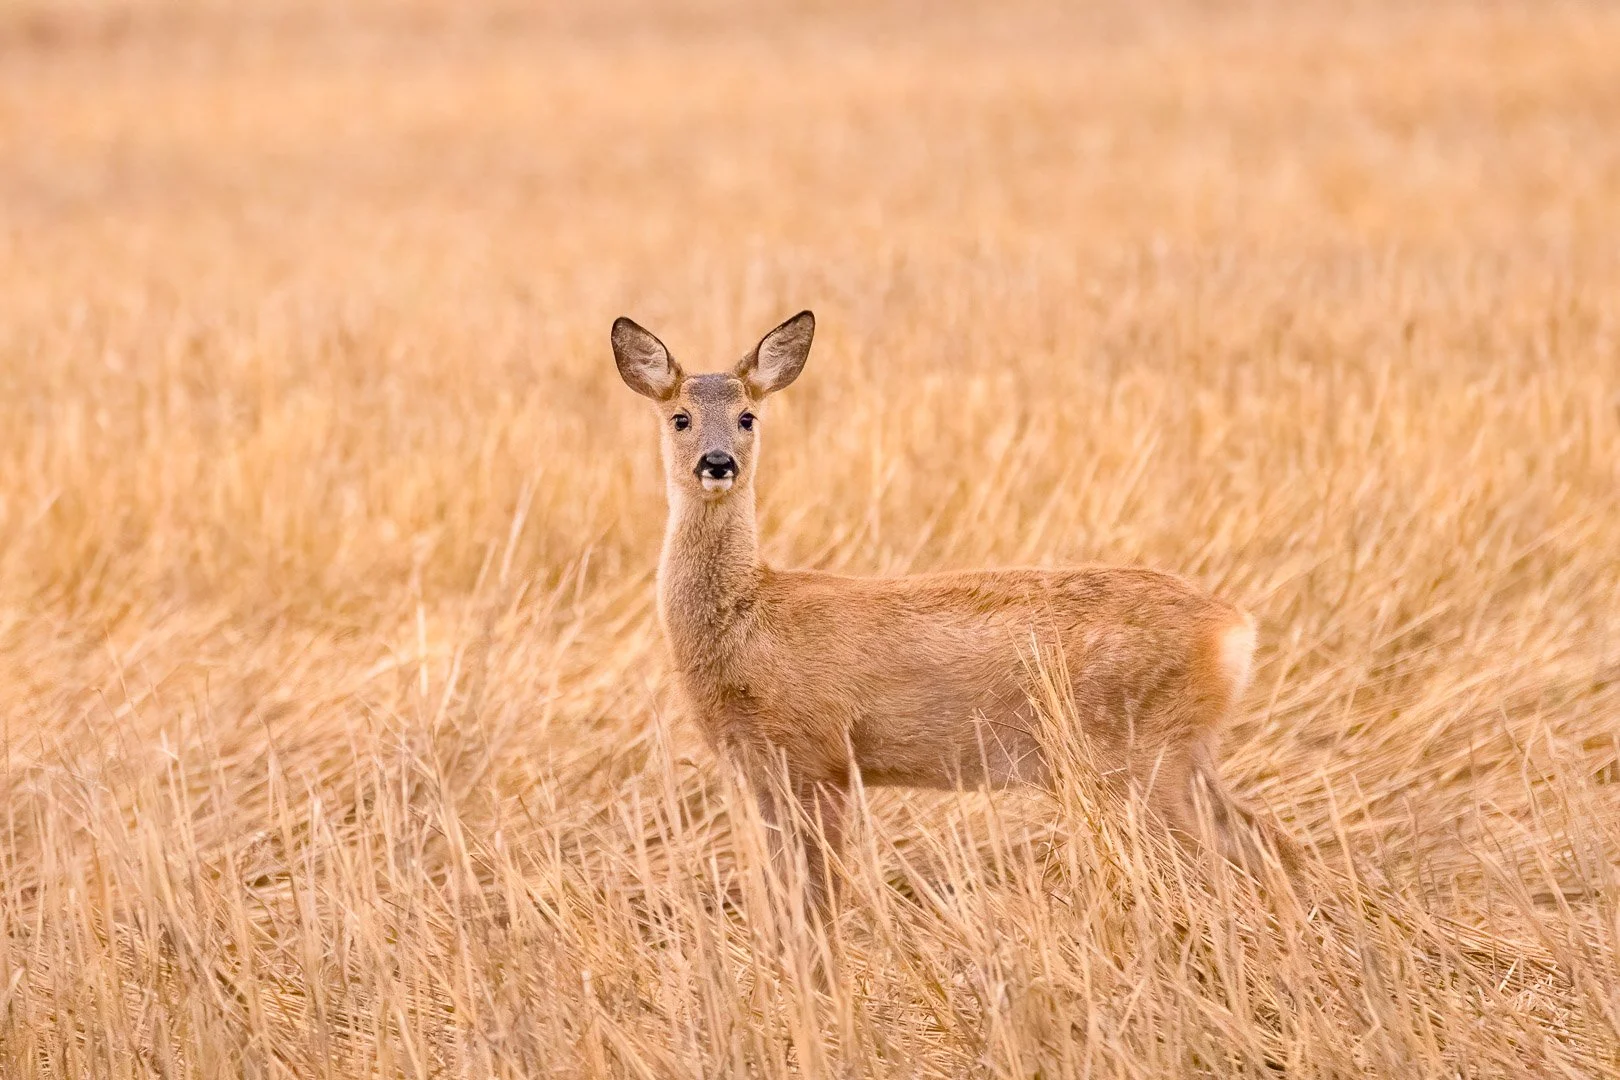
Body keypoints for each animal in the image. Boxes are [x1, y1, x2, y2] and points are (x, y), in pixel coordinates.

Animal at [612, 310, 1300, 911]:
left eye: (748, 416)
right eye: (680, 417)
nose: (717, 462)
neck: (747, 618)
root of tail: (1235, 630)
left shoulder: (820, 755)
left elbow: (820, 902)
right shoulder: (764, 773)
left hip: (1139, 749)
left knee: (1219, 861)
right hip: (1184, 750)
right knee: (1264, 840)